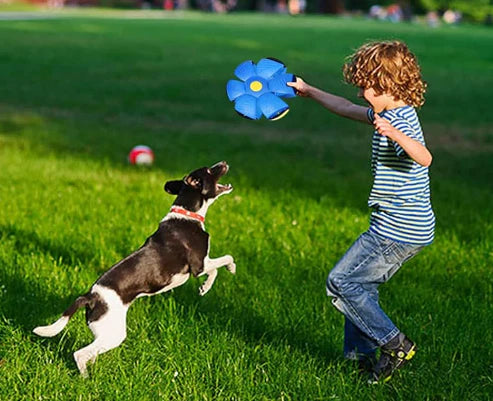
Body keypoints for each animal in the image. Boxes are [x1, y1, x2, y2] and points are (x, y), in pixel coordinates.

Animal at [33, 159, 235, 376]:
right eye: (209, 170)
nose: (223, 162)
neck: (188, 213)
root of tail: (91, 297)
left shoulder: (202, 265)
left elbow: (214, 270)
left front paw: (204, 288)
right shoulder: (199, 264)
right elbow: (224, 260)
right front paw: (230, 269)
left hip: (105, 332)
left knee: (91, 352)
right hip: (114, 333)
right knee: (80, 354)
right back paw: (86, 378)